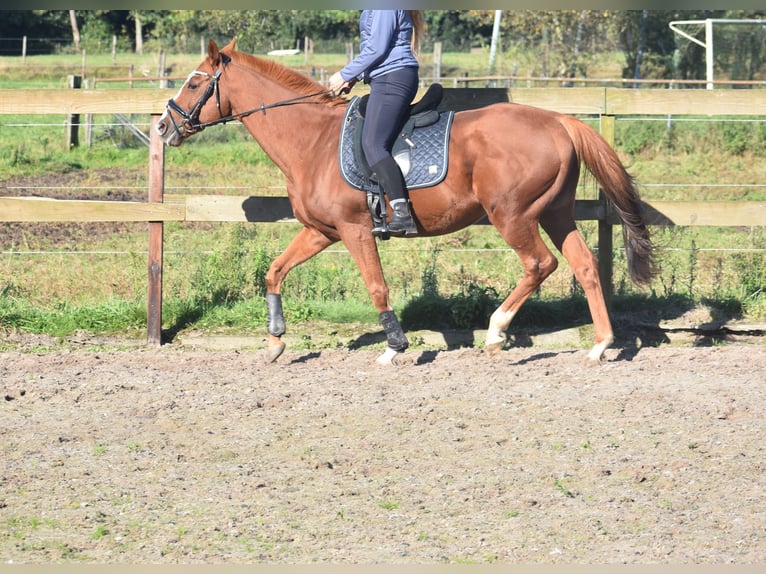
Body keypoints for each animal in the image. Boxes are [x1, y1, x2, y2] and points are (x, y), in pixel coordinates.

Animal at [158, 40, 660, 366]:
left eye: (194, 84)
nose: (164, 127)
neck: (312, 140)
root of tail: (559, 121)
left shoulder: (356, 230)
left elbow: (376, 286)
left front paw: (394, 346)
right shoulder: (321, 231)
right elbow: (275, 270)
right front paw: (276, 340)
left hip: (512, 215)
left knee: (540, 264)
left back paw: (496, 332)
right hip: (555, 212)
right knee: (584, 265)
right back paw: (600, 344)